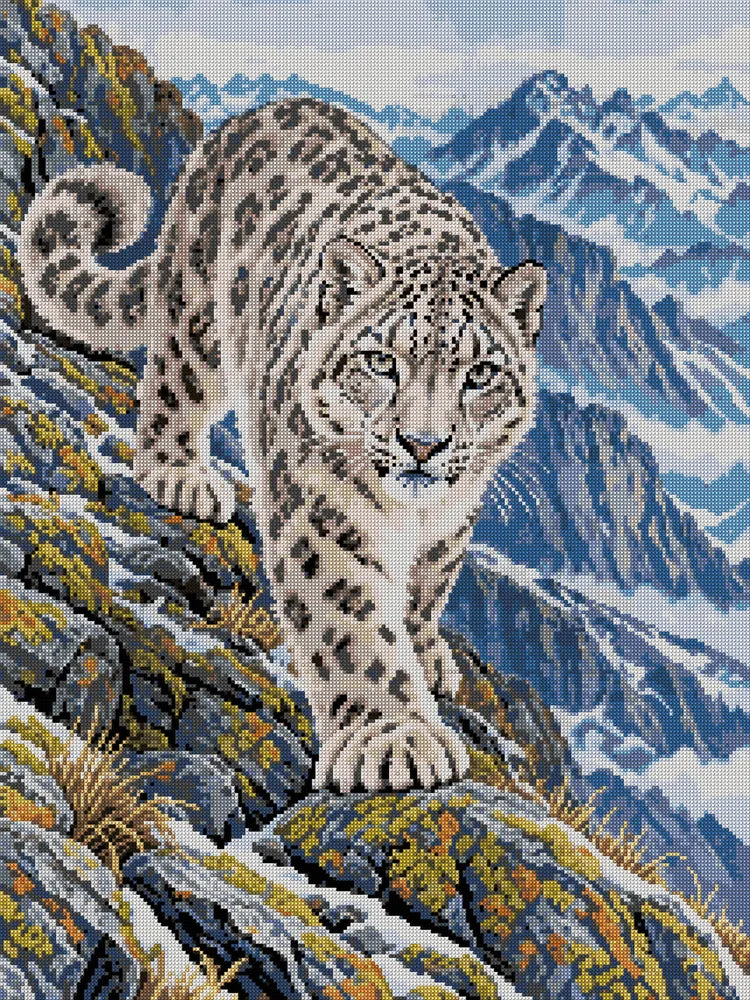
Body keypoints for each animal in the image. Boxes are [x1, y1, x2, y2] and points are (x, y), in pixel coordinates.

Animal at [19, 97, 547, 793]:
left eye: (480, 373)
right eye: (381, 362)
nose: (423, 443)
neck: (411, 512)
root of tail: (258, 113)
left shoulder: (455, 515)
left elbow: (431, 580)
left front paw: (427, 652)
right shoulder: (323, 515)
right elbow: (354, 630)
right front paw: (397, 740)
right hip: (198, 323)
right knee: (171, 387)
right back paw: (181, 476)